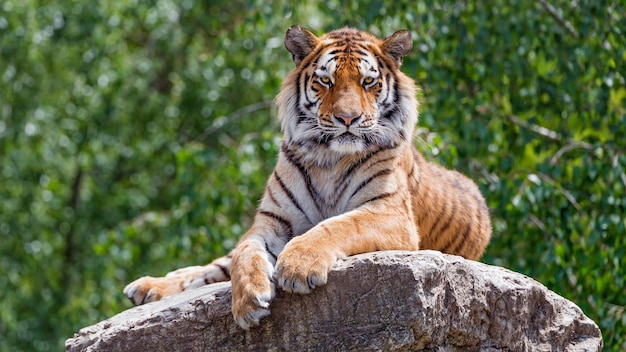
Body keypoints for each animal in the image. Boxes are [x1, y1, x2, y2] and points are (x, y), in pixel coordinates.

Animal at [123, 25, 492, 330]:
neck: (329, 158)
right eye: (326, 80)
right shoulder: (270, 221)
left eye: (368, 82)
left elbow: (338, 225)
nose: (347, 118)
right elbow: (245, 253)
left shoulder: (390, 214)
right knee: (213, 267)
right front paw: (248, 301)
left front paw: (297, 267)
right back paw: (147, 287)